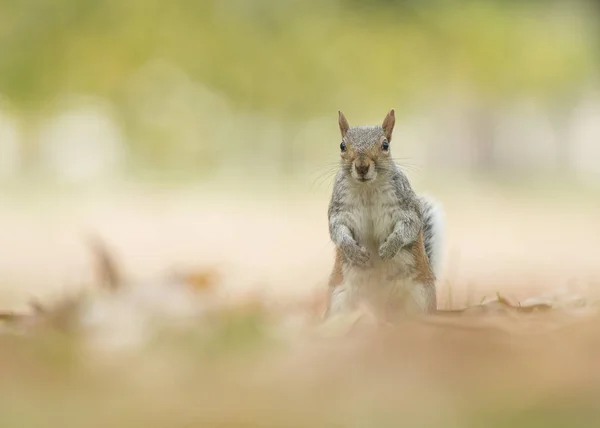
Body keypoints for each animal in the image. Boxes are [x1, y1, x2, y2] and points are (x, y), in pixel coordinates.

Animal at [324, 108, 446, 320]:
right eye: (342, 145)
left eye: (385, 145)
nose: (362, 166)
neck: (367, 189)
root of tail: (381, 309)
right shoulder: (339, 212)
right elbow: (337, 231)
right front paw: (353, 251)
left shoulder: (406, 207)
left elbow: (409, 227)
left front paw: (389, 248)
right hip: (340, 300)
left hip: (420, 298)